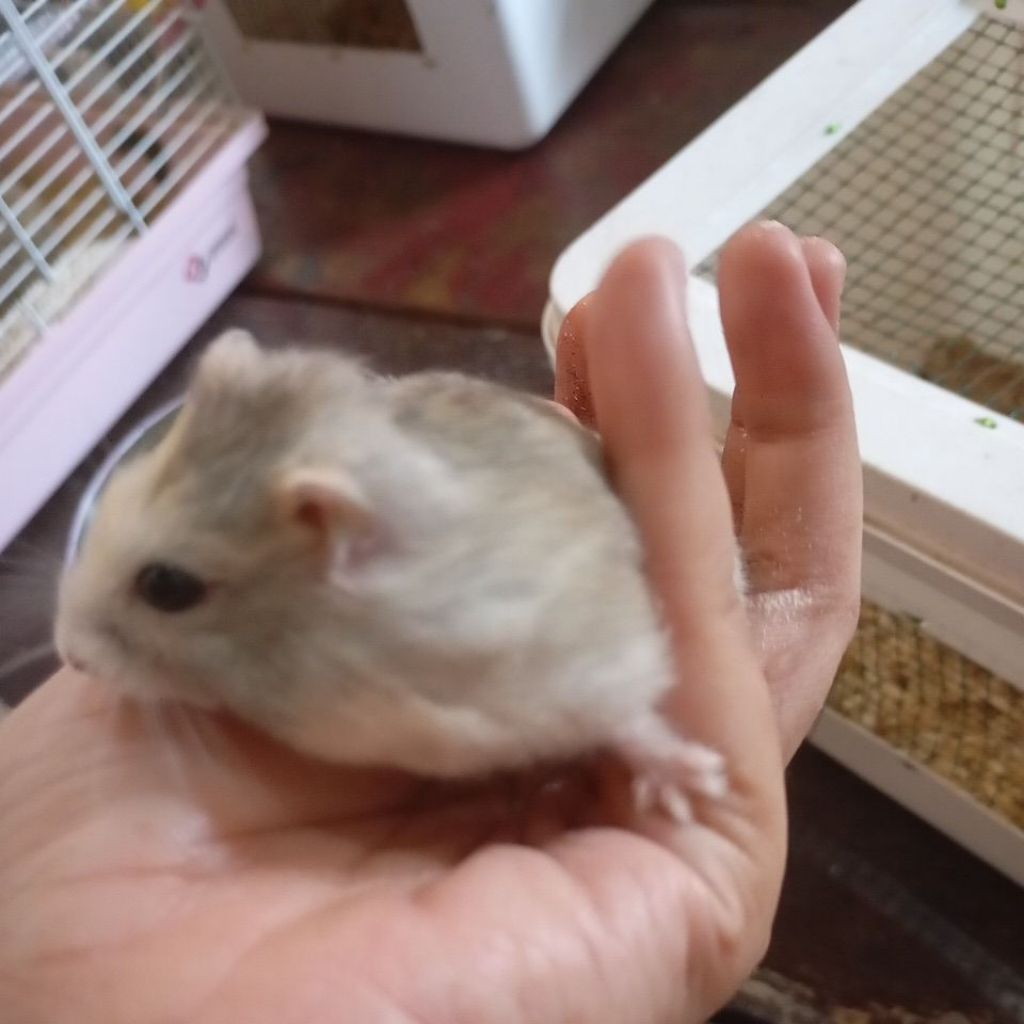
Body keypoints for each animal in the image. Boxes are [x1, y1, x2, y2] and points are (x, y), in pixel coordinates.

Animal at [55, 330, 734, 819]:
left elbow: (630, 719)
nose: (70, 657)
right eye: (115, 494)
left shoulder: (584, 660)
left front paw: (695, 788)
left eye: (167, 587)